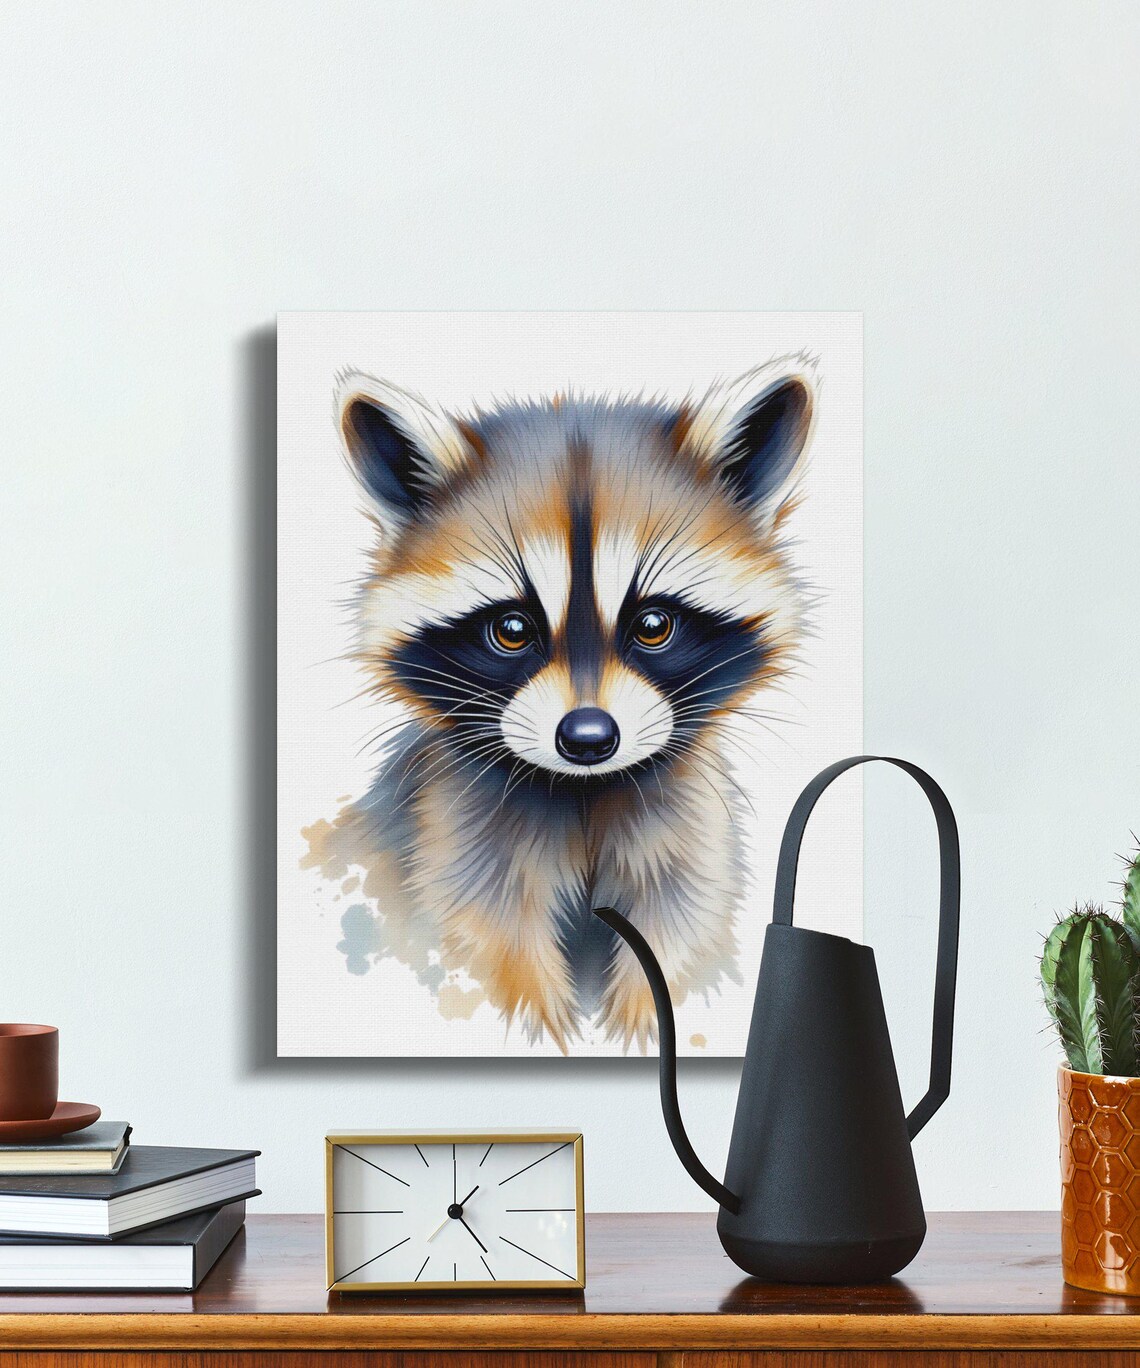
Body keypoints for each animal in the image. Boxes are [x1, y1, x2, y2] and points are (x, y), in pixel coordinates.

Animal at [305, 356, 817, 1052]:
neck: (584, 794)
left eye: (653, 625)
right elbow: (489, 949)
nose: (588, 737)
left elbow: (678, 944)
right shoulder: (456, 848)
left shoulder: (684, 845)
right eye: (511, 629)